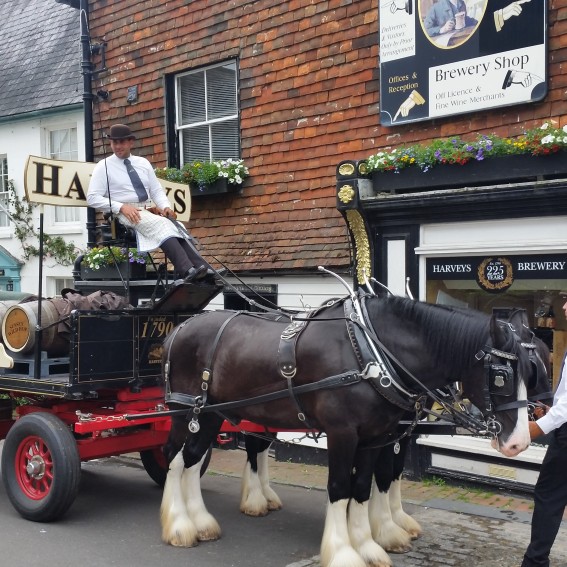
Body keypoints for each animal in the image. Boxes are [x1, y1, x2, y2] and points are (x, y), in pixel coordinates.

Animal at [159, 296, 532, 564]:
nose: (519, 442)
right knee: (175, 459)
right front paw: (344, 551)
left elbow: (366, 485)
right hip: (187, 412)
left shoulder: (376, 437)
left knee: (195, 459)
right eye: (502, 376)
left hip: (212, 415)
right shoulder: (343, 434)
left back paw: (204, 521)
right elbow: (341, 487)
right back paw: (180, 524)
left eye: (531, 371)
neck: (372, 354)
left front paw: (371, 542)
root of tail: (180, 328)